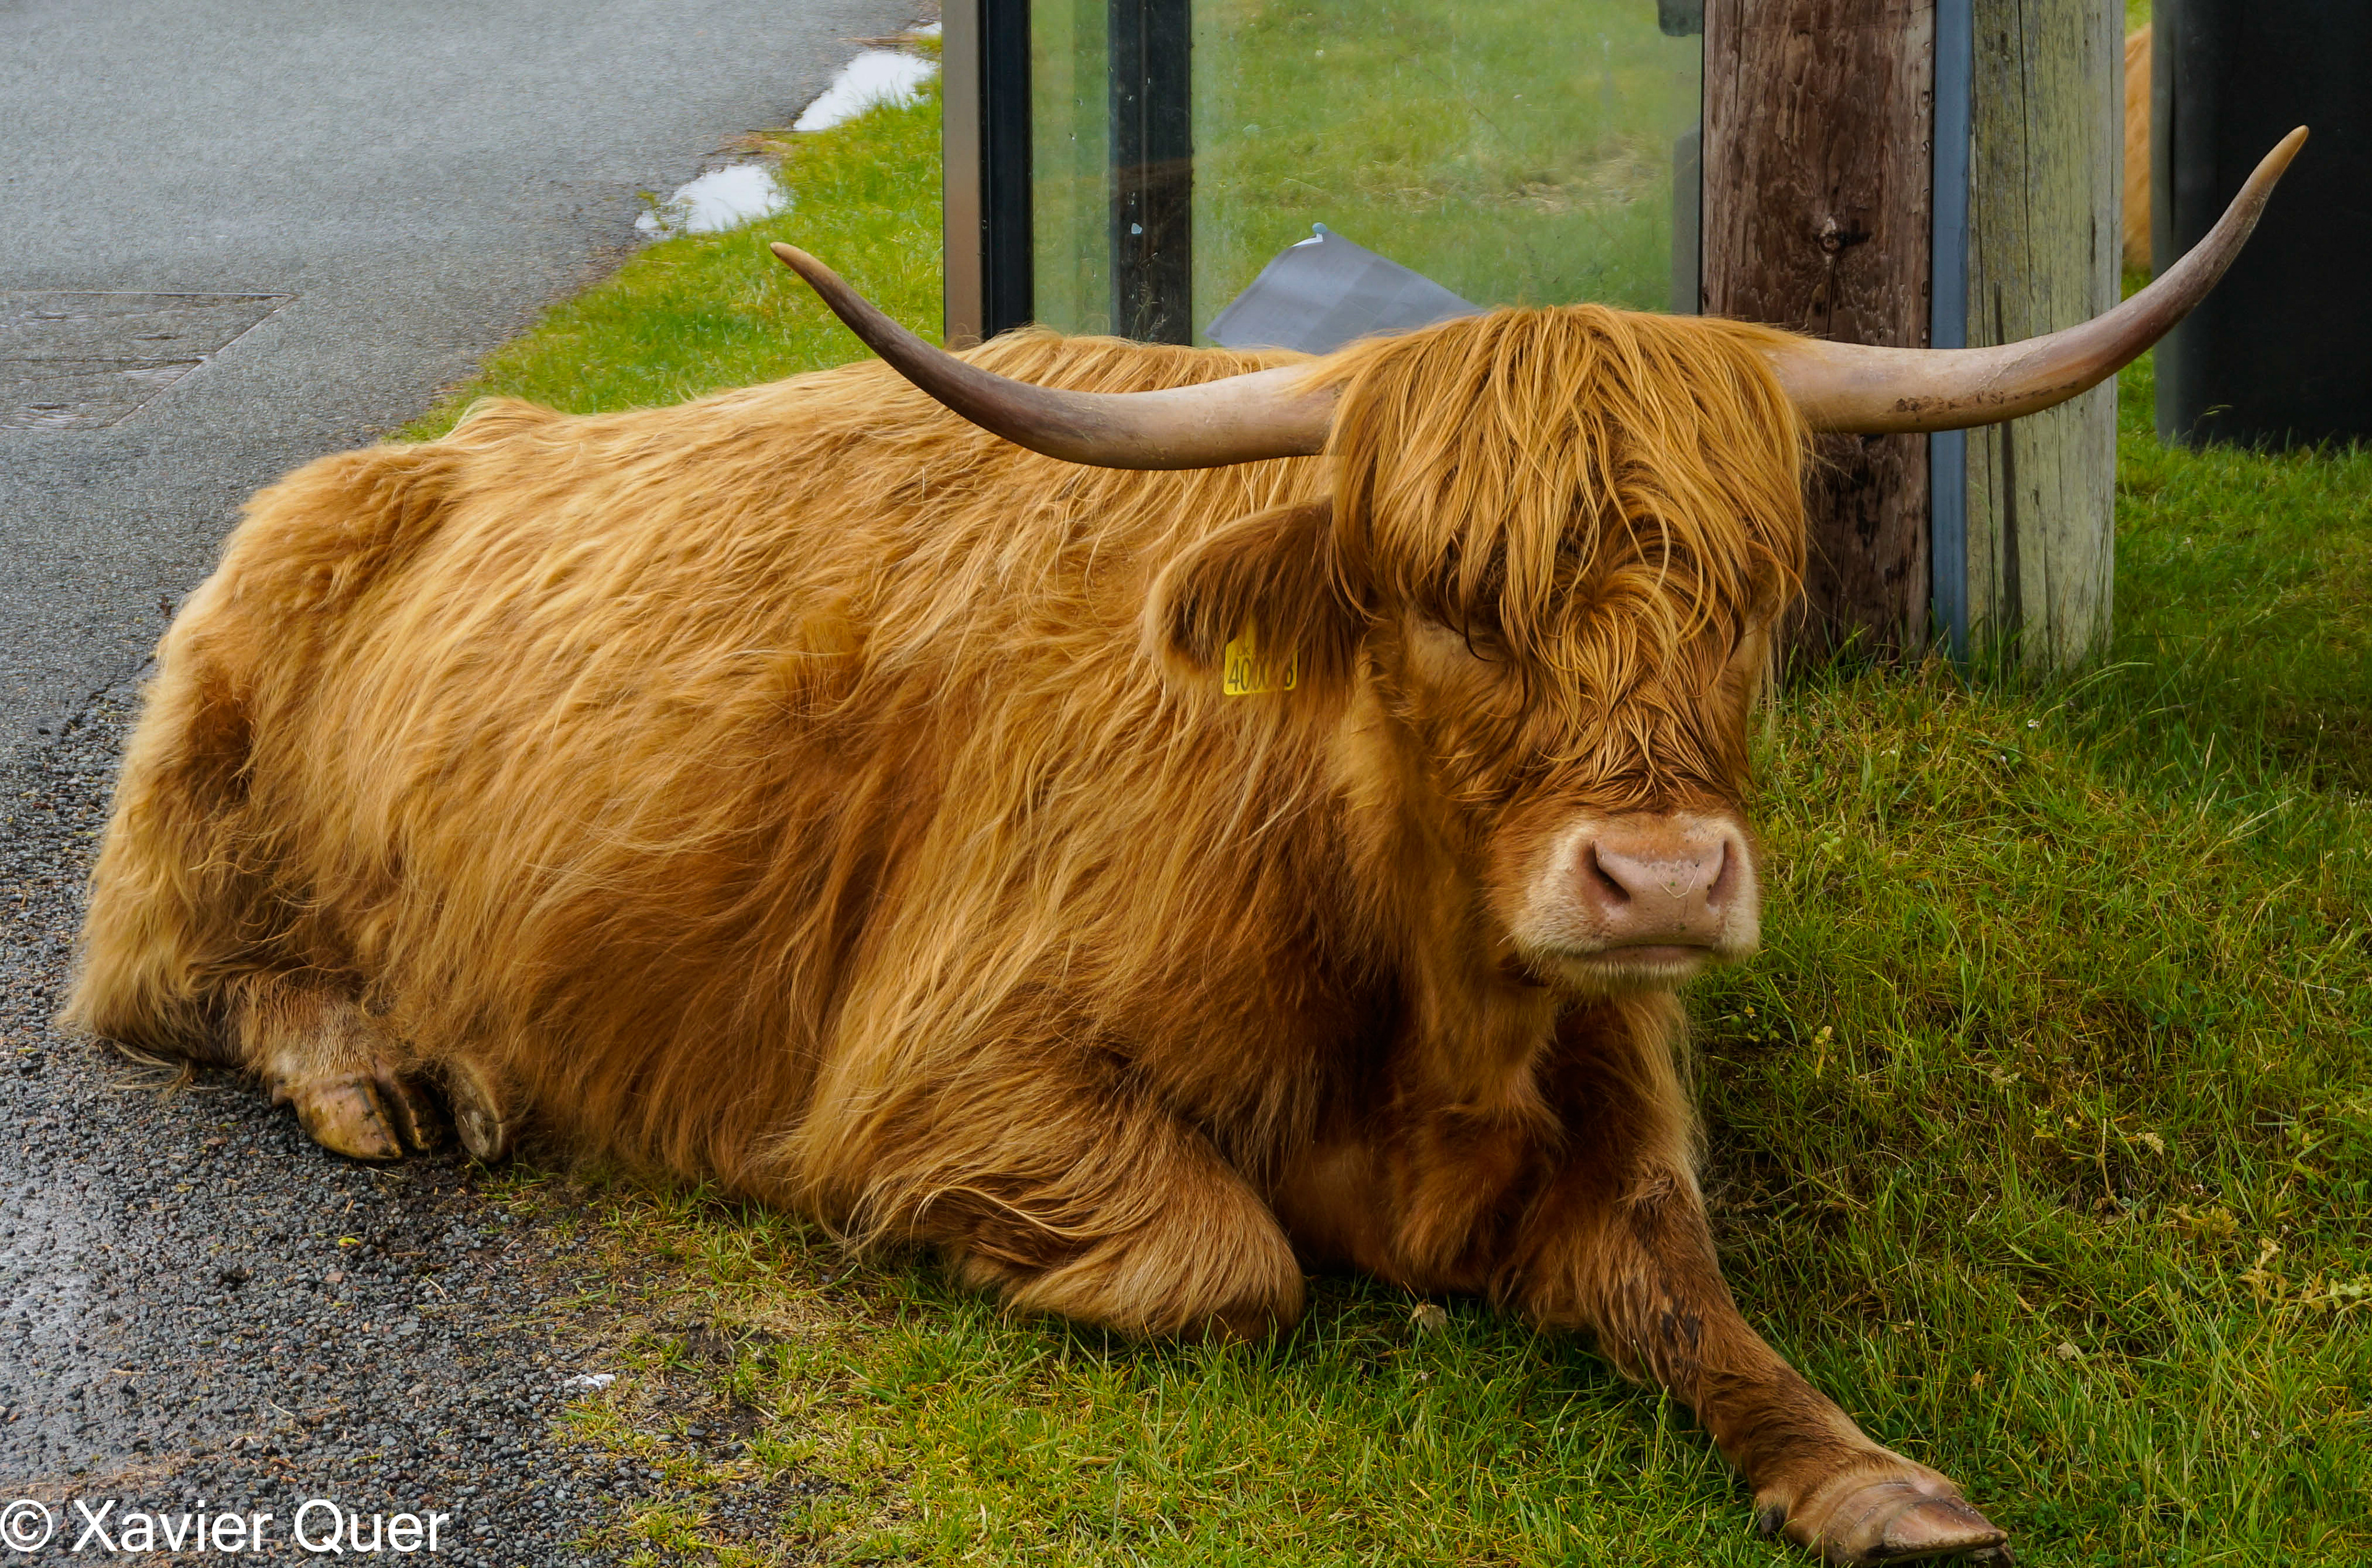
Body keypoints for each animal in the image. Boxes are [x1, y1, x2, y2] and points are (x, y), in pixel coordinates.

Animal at [67, 131, 2301, 1563]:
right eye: (1436, 601)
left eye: (1748, 599)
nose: (1660, 879)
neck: (1427, 1020)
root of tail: (450, 443)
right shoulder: (937, 1068)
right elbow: (1226, 1259)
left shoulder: (1620, 1096)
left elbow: (1688, 1290)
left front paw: (1879, 1479)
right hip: (194, 804)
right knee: (191, 986)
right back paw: (398, 1071)